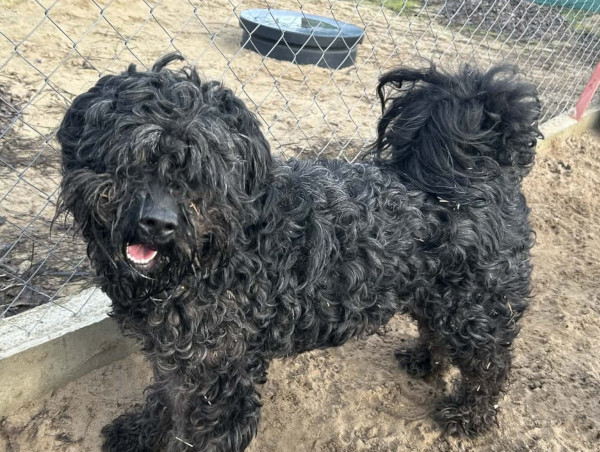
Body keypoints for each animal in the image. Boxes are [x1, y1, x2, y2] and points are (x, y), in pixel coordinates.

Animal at [57, 53, 541, 451]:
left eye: (204, 171)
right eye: (132, 157)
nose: (157, 223)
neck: (219, 254)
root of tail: (482, 172)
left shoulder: (221, 376)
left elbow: (198, 431)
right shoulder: (180, 358)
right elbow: (163, 401)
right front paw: (138, 433)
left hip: (476, 310)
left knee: (491, 364)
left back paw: (471, 416)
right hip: (435, 296)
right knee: (434, 333)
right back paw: (424, 361)